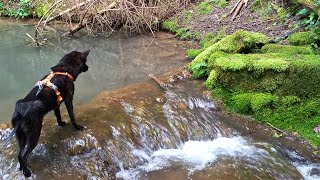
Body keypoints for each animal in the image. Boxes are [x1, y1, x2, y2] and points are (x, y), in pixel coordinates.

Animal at [10, 50, 90, 178]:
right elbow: (72, 115)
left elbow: (58, 115)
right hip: (34, 134)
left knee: (19, 154)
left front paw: (61, 123)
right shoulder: (68, 99)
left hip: (21, 137)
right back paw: (27, 172)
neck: (65, 70)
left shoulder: (56, 104)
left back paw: (22, 169)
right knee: (24, 156)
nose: (88, 67)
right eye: (85, 61)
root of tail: (19, 112)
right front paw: (77, 127)